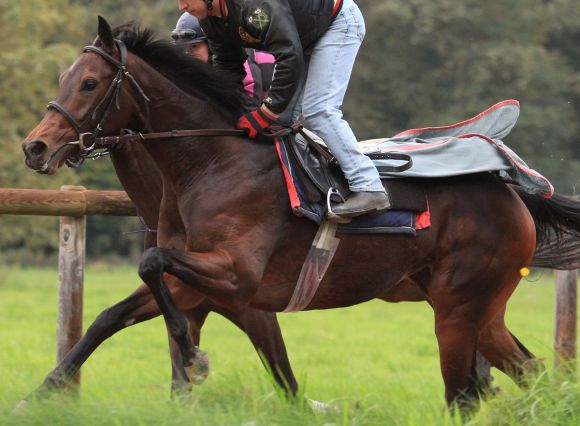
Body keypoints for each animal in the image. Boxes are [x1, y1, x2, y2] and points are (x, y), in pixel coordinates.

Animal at [19, 18, 580, 412]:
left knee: (465, 395)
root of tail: (510, 191)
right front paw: (42, 392)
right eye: (65, 77)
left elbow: (156, 268)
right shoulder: (192, 288)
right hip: (476, 308)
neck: (212, 163)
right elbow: (110, 316)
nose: (34, 146)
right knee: (528, 370)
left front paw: (200, 362)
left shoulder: (239, 282)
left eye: (90, 84)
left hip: (459, 308)